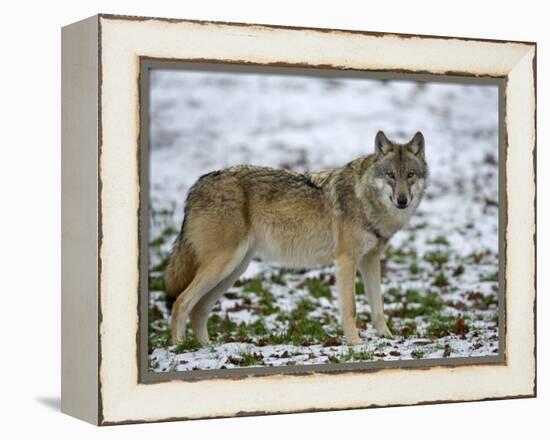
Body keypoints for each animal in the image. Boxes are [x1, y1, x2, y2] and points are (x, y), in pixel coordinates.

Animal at [166, 132, 430, 346]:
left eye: (410, 175)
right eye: (390, 176)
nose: (402, 200)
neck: (365, 199)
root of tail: (196, 185)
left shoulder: (370, 261)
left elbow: (379, 307)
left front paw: (387, 338)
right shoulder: (346, 261)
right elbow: (351, 308)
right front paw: (355, 343)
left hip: (234, 270)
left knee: (199, 309)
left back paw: (205, 348)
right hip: (224, 265)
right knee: (181, 302)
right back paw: (180, 348)